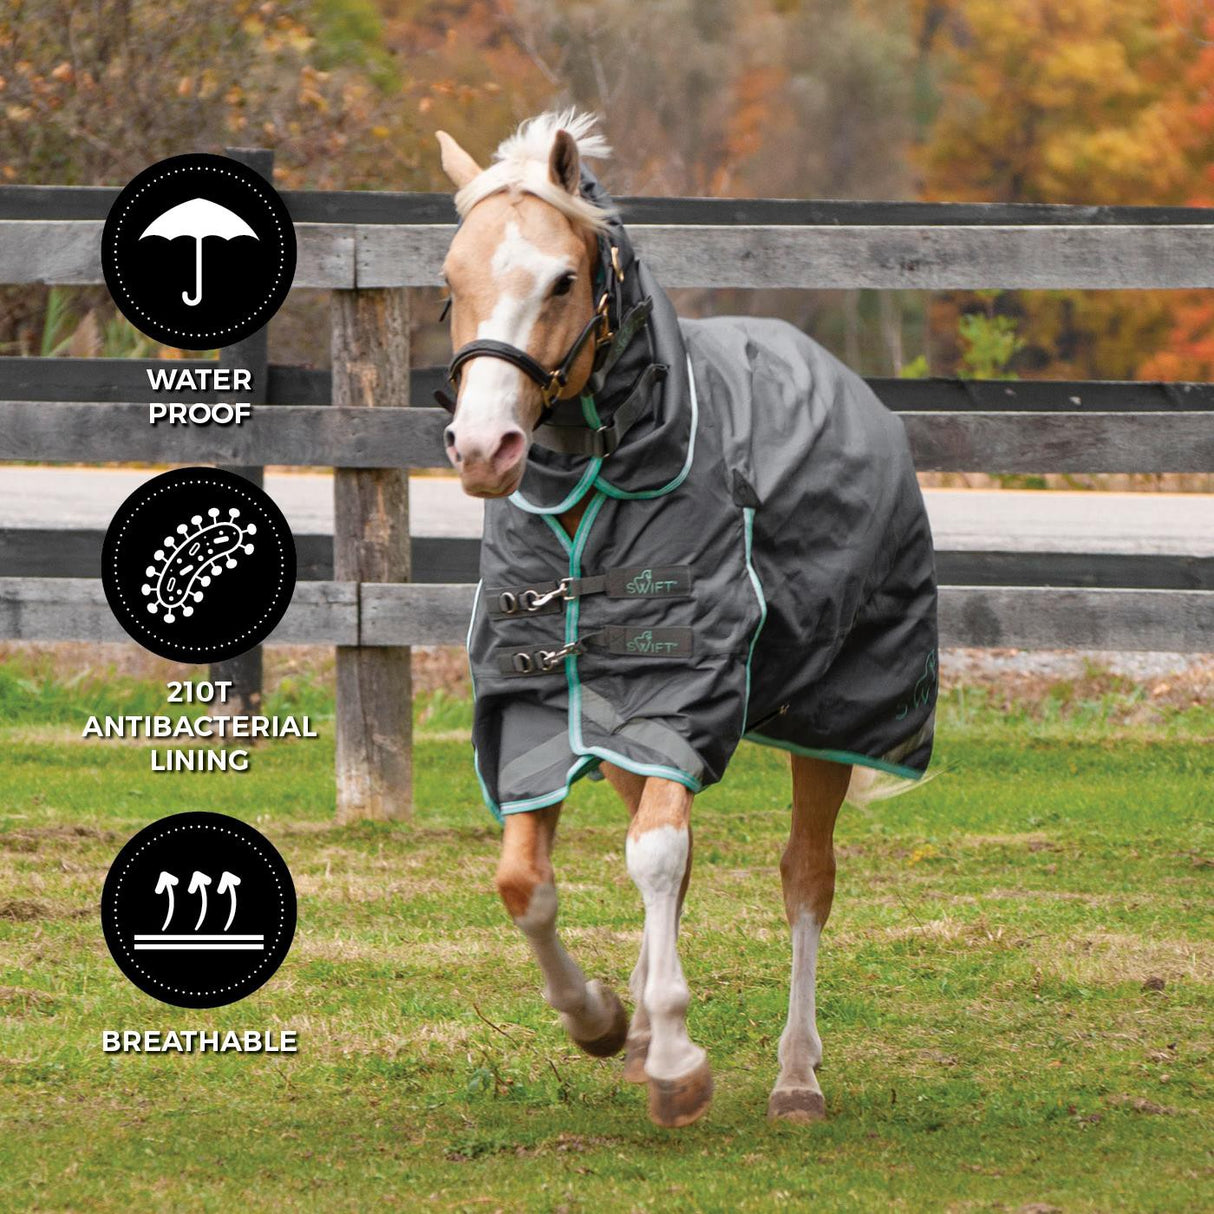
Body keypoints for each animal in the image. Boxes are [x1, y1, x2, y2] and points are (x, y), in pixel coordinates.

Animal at [434, 110, 938, 1127]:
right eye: (450, 282)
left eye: (562, 279)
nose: (482, 448)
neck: (595, 493)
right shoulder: (548, 706)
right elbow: (528, 880)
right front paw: (600, 1020)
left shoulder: (679, 695)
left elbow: (660, 858)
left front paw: (675, 1059)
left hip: (828, 722)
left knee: (804, 878)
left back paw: (795, 1077)